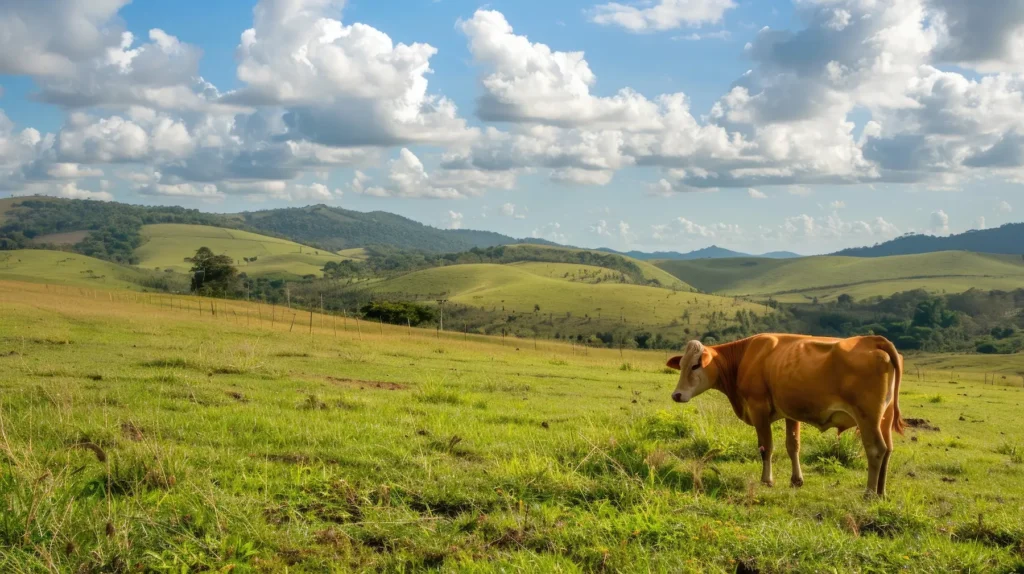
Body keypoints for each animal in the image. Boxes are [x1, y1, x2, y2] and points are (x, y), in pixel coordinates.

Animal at [666, 334, 904, 497]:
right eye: (681, 364)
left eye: (696, 365)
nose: (676, 395)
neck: (746, 356)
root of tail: (873, 340)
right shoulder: (791, 412)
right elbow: (793, 446)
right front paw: (796, 480)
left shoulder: (758, 409)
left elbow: (766, 447)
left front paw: (767, 480)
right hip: (884, 418)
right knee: (888, 450)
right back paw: (881, 492)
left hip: (868, 418)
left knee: (875, 450)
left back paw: (869, 493)